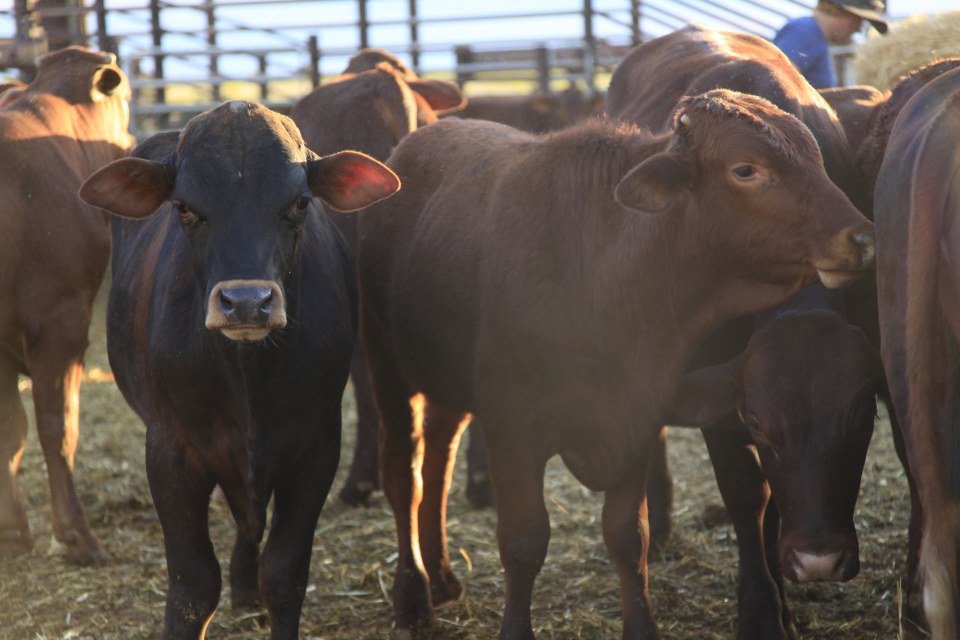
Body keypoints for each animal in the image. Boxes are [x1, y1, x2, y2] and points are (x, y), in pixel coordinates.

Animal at [78, 100, 400, 639]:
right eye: (185, 207)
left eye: (300, 203)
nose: (246, 302)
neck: (248, 373)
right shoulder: (170, 451)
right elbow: (193, 586)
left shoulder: (315, 450)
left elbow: (284, 577)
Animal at [356, 89, 875, 638]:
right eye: (745, 169)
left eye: (815, 158)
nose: (862, 238)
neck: (603, 272)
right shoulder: (512, 430)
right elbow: (523, 542)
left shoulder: (637, 417)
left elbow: (629, 537)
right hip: (387, 367)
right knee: (404, 474)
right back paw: (412, 594)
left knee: (438, 459)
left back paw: (440, 575)